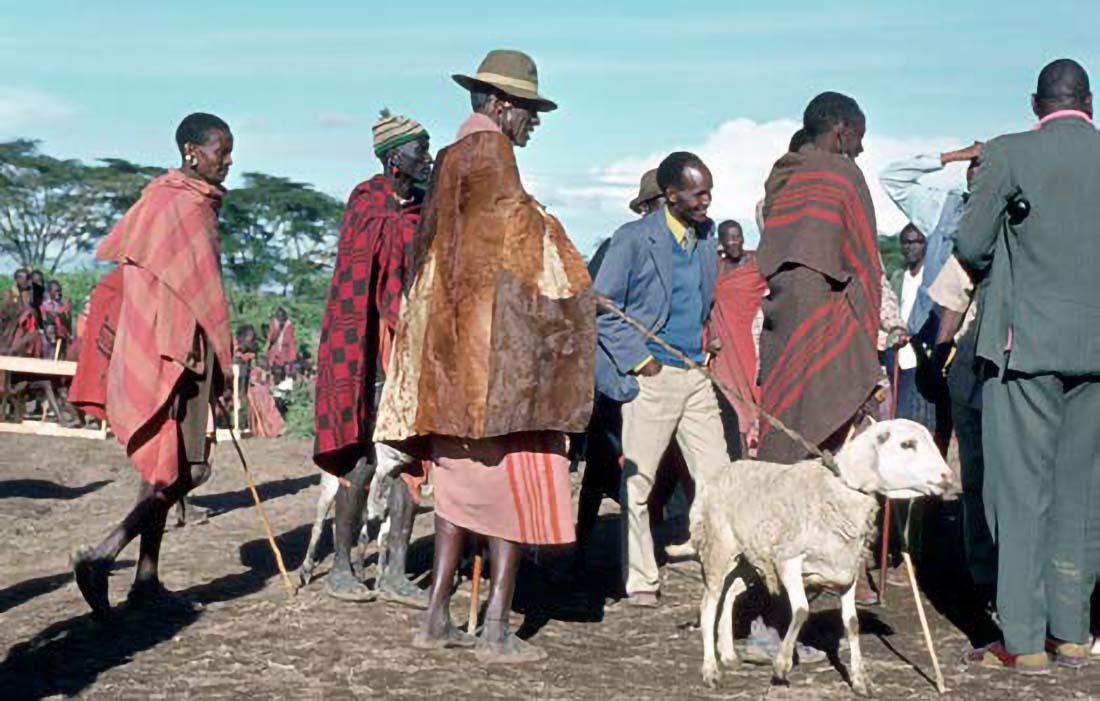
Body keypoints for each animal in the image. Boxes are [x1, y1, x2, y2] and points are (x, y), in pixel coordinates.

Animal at [686, 418, 954, 691]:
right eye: (907, 444)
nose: (948, 477)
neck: (840, 487)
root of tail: (721, 473)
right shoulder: (789, 561)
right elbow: (801, 610)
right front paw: (782, 665)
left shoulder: (846, 568)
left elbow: (852, 623)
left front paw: (860, 680)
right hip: (719, 547)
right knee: (709, 606)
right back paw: (711, 670)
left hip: (753, 559)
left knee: (729, 593)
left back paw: (728, 654)